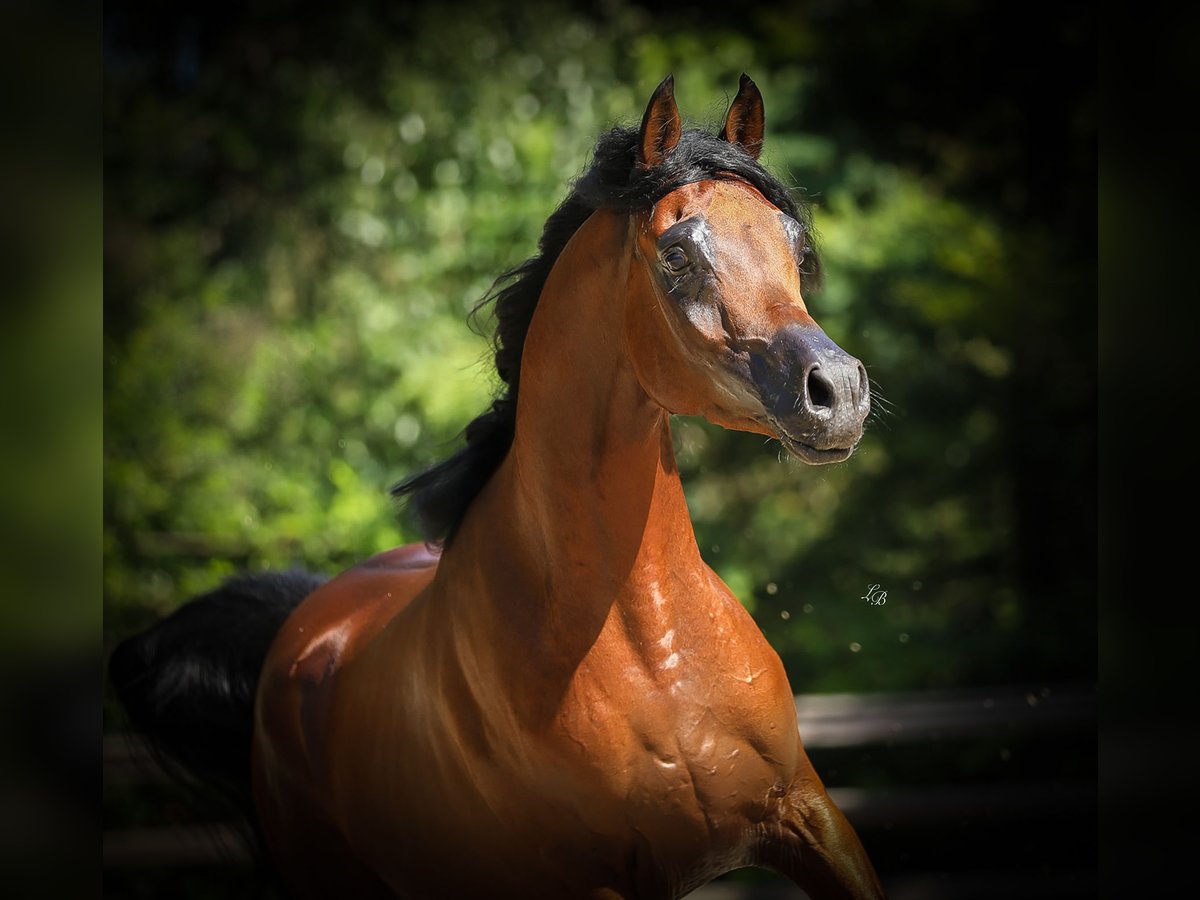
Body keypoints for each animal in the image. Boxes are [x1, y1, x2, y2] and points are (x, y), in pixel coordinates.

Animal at [110, 79, 883, 900]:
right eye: (677, 254)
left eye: (795, 246)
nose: (837, 391)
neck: (651, 653)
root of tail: (298, 629)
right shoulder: (592, 883)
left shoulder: (806, 816)